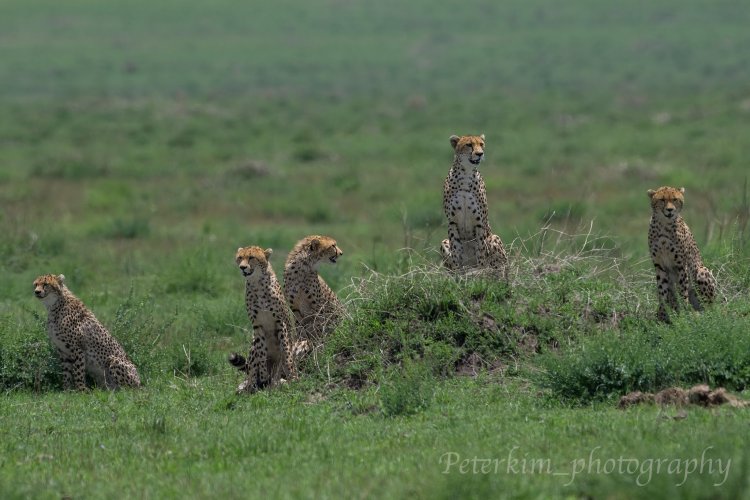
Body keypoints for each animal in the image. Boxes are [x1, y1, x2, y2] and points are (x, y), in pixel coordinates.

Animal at [440, 133, 512, 278]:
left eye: (481, 144)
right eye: (469, 145)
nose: (480, 154)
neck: (465, 174)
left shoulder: (480, 222)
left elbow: (481, 249)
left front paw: (481, 271)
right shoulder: (452, 222)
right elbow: (455, 250)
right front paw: (457, 272)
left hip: (495, 239)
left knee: (501, 267)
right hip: (444, 242)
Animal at [648, 186, 720, 322]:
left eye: (675, 199)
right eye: (662, 200)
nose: (670, 210)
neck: (664, 224)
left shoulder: (681, 265)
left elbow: (683, 290)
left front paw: (684, 313)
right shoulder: (659, 265)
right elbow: (662, 291)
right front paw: (662, 315)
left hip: (701, 272)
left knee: (710, 308)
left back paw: (700, 313)